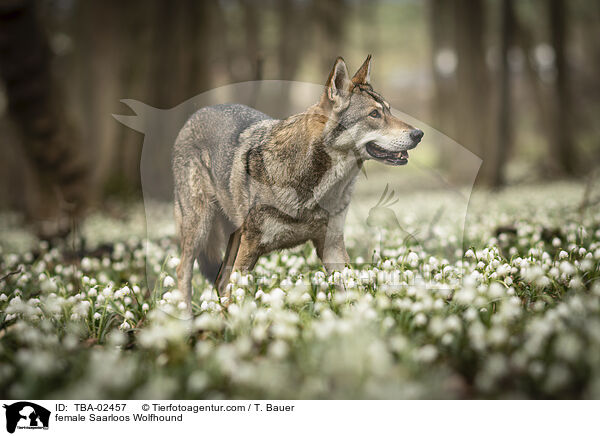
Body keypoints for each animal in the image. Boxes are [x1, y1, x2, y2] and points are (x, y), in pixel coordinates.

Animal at [171, 55, 424, 314]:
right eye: (374, 114)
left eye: (389, 110)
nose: (419, 133)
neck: (315, 186)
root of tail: (196, 113)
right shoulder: (250, 247)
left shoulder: (332, 246)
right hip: (199, 228)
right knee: (185, 272)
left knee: (221, 281)